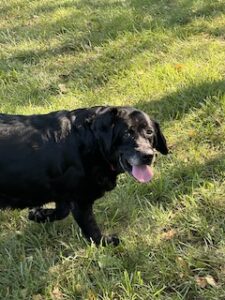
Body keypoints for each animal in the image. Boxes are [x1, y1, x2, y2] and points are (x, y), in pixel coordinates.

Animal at [0, 106, 168, 245]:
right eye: (127, 133)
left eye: (149, 132)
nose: (148, 155)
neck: (91, 142)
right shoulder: (81, 200)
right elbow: (91, 228)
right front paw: (104, 242)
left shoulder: (65, 193)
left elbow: (62, 211)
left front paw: (38, 214)